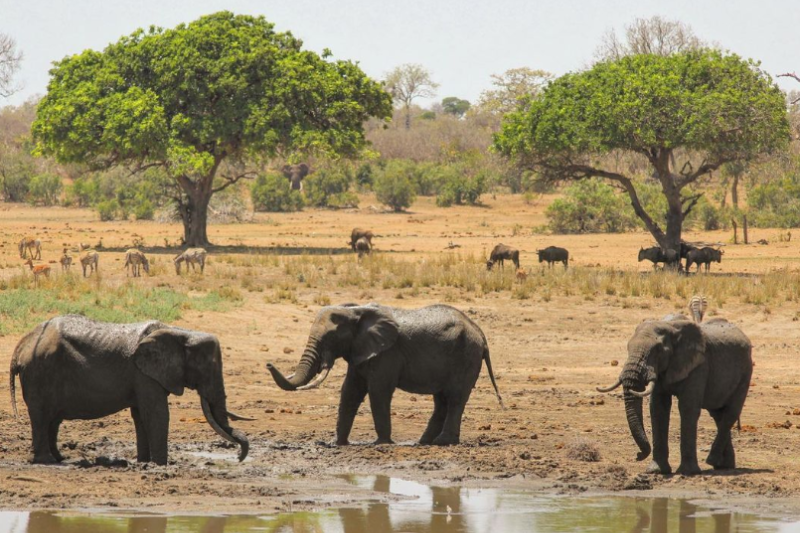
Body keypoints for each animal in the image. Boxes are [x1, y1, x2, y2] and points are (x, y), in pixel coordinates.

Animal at [8, 314, 247, 464]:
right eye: (206, 367)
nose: (238, 458)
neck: (179, 332)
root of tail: (22, 345)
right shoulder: (144, 374)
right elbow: (156, 414)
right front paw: (161, 465)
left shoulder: (144, 376)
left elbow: (141, 415)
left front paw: (144, 462)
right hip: (40, 372)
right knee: (42, 416)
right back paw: (47, 461)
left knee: (53, 419)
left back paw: (59, 458)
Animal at [266, 304, 504, 444]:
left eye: (331, 337)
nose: (268, 364)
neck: (355, 311)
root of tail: (481, 333)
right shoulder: (360, 350)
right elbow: (350, 391)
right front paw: (338, 443)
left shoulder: (386, 353)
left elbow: (378, 392)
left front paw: (381, 444)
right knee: (441, 401)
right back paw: (424, 442)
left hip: (466, 357)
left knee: (455, 398)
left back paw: (442, 442)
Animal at [596, 316, 752, 474]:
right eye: (628, 347)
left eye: (658, 350)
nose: (638, 455)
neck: (670, 327)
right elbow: (658, 408)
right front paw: (656, 471)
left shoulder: (698, 365)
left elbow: (687, 408)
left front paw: (688, 472)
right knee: (718, 415)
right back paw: (723, 466)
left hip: (746, 372)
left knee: (731, 413)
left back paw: (712, 461)